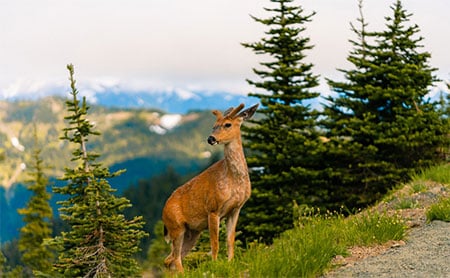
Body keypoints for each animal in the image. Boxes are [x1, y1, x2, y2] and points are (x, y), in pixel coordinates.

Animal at [162, 102, 256, 272]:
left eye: (227, 124)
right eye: (214, 126)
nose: (210, 138)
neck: (233, 180)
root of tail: (163, 213)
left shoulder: (236, 209)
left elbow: (230, 240)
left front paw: (230, 262)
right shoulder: (213, 208)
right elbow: (215, 243)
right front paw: (215, 265)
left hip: (192, 232)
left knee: (170, 259)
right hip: (176, 227)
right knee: (175, 258)